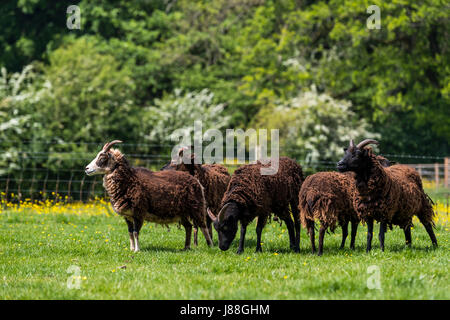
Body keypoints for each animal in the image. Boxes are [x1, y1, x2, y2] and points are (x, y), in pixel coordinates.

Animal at [85, 141, 213, 251]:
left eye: (102, 158)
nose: (86, 169)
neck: (129, 180)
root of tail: (195, 180)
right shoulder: (127, 216)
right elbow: (130, 232)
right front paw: (131, 249)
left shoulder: (138, 212)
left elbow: (136, 232)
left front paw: (137, 250)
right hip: (181, 212)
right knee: (189, 227)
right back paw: (186, 247)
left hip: (196, 207)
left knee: (203, 227)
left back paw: (209, 246)